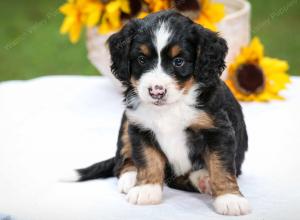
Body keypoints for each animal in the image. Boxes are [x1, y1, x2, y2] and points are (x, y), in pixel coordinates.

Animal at [70, 9, 251, 215]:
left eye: (179, 61)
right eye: (141, 59)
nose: (156, 91)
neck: (171, 106)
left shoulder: (217, 130)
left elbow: (221, 166)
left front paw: (230, 198)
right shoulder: (140, 127)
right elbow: (148, 159)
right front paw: (146, 189)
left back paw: (203, 179)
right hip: (126, 123)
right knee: (122, 160)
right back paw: (130, 177)